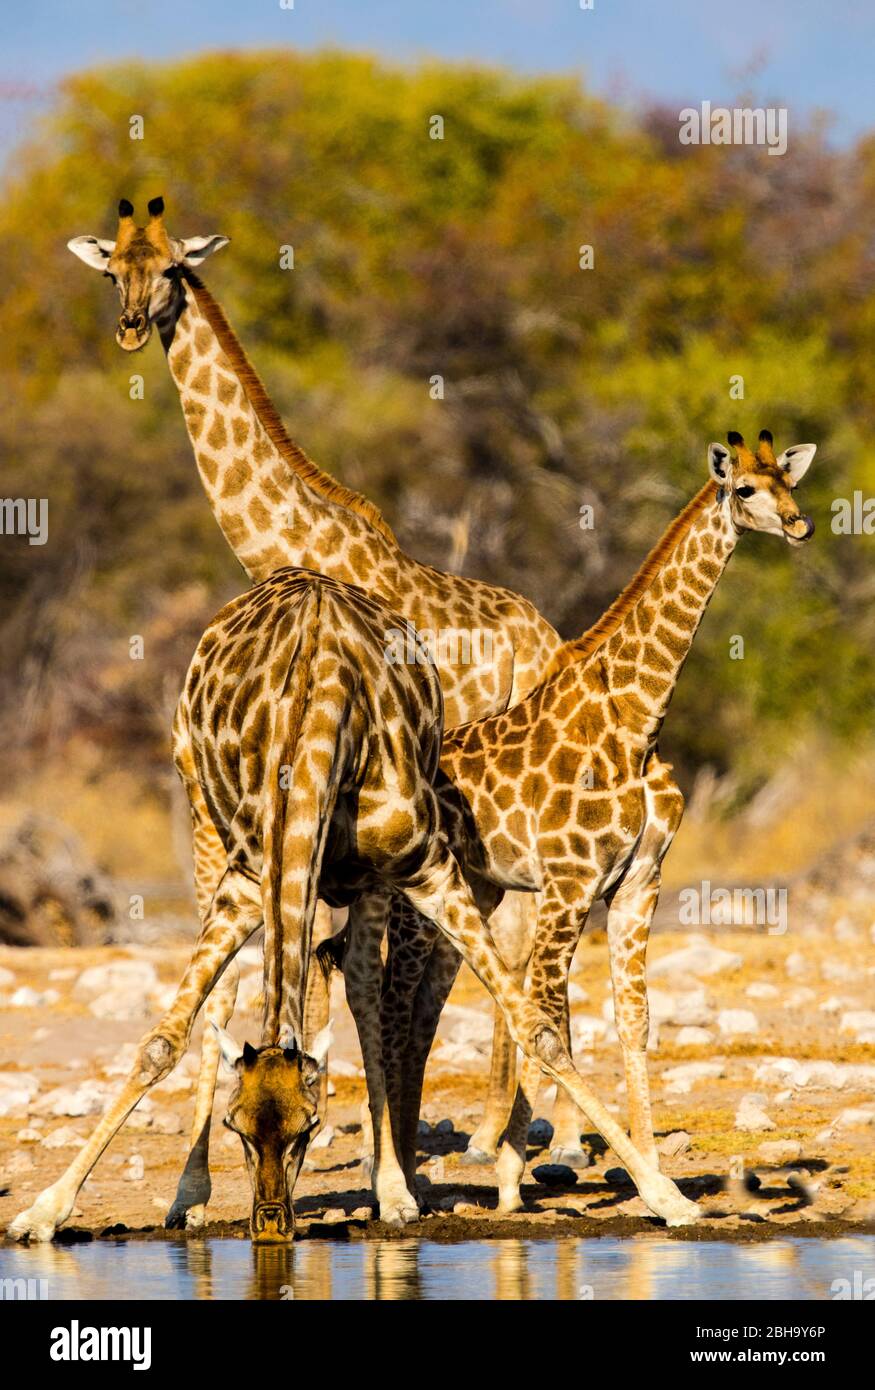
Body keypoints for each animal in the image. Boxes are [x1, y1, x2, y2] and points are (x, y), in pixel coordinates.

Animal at [8, 568, 699, 1242]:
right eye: (236, 1126)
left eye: (307, 1128)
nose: (270, 1224)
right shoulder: (246, 878)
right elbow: (162, 1039)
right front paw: (43, 1210)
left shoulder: (424, 867)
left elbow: (533, 1027)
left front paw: (666, 1196)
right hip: (204, 821)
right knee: (238, 992)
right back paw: (190, 1198)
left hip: (367, 882)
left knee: (364, 986)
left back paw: (390, 1184)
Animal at [66, 196, 580, 1215]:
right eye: (113, 271)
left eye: (172, 268)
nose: (133, 325)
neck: (287, 543)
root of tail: (548, 636)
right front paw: (198, 1188)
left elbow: (329, 978)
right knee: (466, 961)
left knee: (496, 957)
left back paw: (509, 1152)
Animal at [334, 430, 817, 1213]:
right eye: (744, 489)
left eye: (787, 480)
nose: (800, 524)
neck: (637, 718)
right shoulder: (567, 883)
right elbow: (547, 1023)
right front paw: (653, 1192)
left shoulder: (635, 882)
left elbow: (632, 1020)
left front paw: (645, 1175)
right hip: (411, 898)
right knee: (396, 1006)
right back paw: (400, 1180)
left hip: (479, 889)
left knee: (422, 1007)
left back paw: (413, 1174)